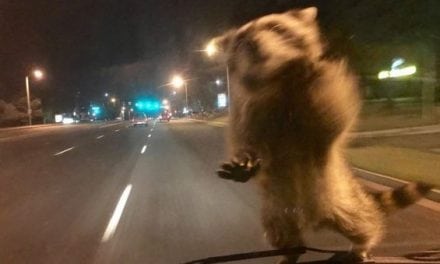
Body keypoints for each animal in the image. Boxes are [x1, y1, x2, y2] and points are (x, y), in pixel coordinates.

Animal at [214, 7, 434, 262]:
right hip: (276, 210)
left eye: (275, 28)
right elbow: (246, 140)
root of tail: (314, 220)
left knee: (360, 221)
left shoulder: (325, 92)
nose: (252, 43)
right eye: (241, 40)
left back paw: (363, 244)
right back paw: (290, 253)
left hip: (340, 198)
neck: (276, 78)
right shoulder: (247, 110)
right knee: (281, 234)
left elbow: (332, 115)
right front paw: (244, 160)